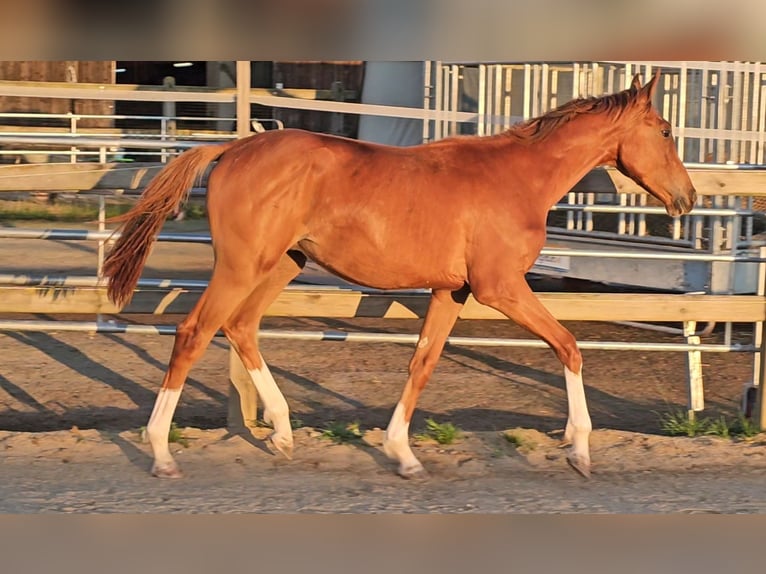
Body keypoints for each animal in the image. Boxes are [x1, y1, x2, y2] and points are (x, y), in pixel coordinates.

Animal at [104, 70, 696, 480]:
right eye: (666, 130)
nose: (687, 199)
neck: (520, 179)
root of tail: (232, 146)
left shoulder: (452, 291)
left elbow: (422, 363)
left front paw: (403, 455)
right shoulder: (499, 288)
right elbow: (569, 346)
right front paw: (579, 450)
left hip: (283, 264)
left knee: (241, 327)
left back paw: (283, 435)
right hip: (242, 264)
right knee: (194, 332)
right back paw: (161, 453)